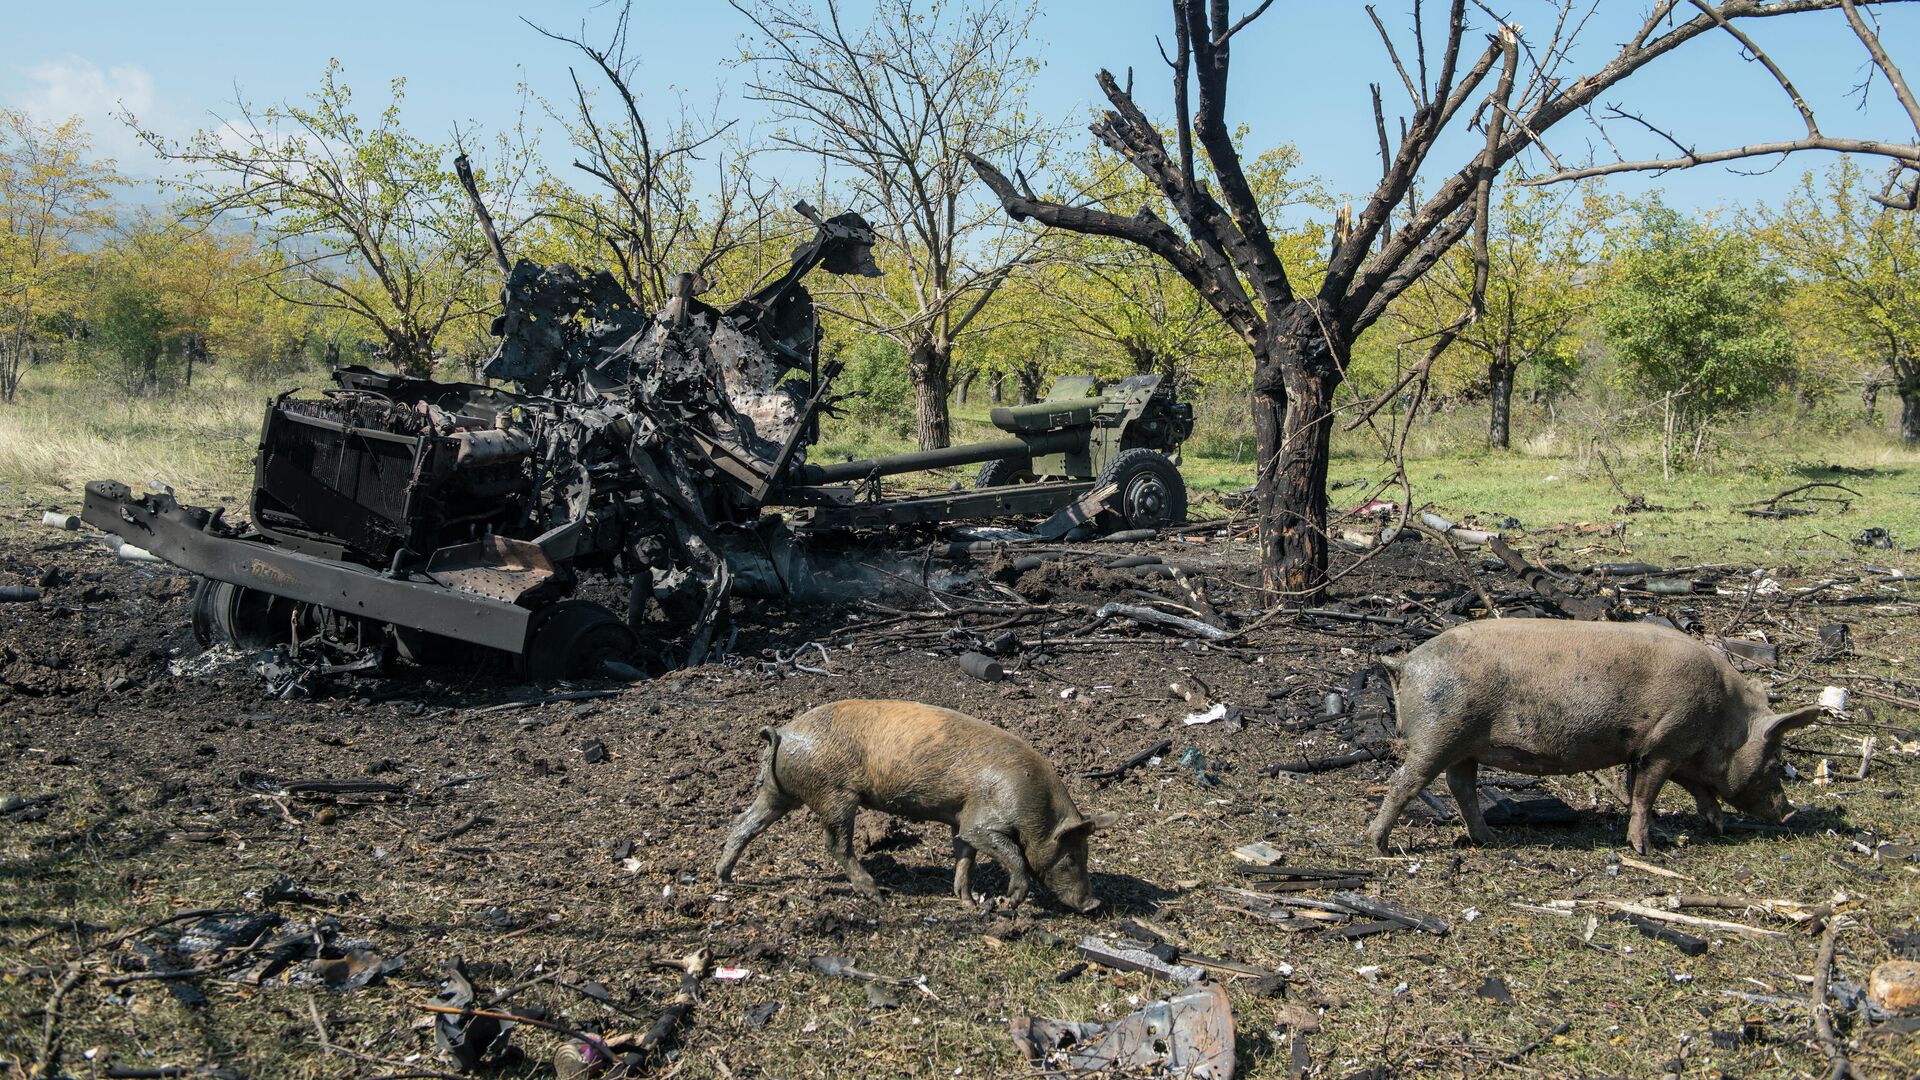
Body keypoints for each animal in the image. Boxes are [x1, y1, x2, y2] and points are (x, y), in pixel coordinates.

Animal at [718, 699, 1113, 907]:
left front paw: (968, 902)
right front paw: (1004, 904)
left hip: (777, 792)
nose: (1093, 903)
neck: (1033, 804)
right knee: (835, 843)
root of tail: (784, 732)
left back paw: (724, 878)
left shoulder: (961, 820)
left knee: (744, 823)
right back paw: (878, 895)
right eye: (1072, 856)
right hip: (835, 795)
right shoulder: (981, 819)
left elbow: (964, 855)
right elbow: (1011, 854)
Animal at [1359, 618, 1820, 853]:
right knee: (1406, 782)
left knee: (1461, 786)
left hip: (1464, 746)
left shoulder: (1670, 751)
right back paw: (1378, 845)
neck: (1723, 719)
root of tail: (1406, 663)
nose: (1790, 813)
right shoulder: (1663, 744)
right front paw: (1644, 850)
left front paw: (1717, 829)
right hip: (1439, 734)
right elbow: (1645, 794)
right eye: (1775, 761)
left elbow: (1695, 791)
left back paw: (1492, 839)